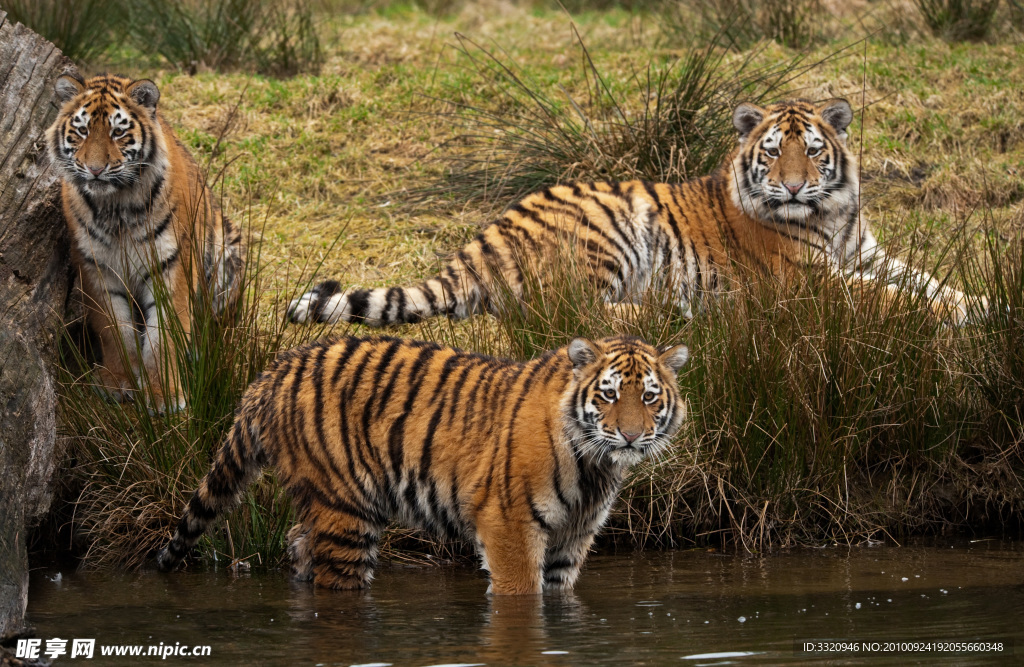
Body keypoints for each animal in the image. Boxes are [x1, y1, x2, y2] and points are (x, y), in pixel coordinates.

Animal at [48, 71, 246, 407]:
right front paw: (118, 382)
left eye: (117, 132)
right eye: (82, 131)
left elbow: (164, 334)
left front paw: (163, 394)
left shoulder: (171, 264)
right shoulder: (95, 266)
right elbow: (113, 328)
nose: (95, 170)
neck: (115, 206)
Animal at [157, 334, 688, 594]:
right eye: (609, 394)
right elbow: (521, 595)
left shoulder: (573, 537)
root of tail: (272, 371)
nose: (631, 435)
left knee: (297, 543)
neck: (594, 466)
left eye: (648, 397)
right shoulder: (509, 526)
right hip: (346, 511)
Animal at [286, 97, 983, 327]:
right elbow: (891, 299)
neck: (831, 215)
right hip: (612, 227)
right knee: (563, 310)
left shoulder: (868, 253)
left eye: (812, 152)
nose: (790, 189)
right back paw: (673, 310)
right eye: (771, 154)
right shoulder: (807, 279)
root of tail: (482, 238)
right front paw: (967, 314)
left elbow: (927, 281)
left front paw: (979, 302)